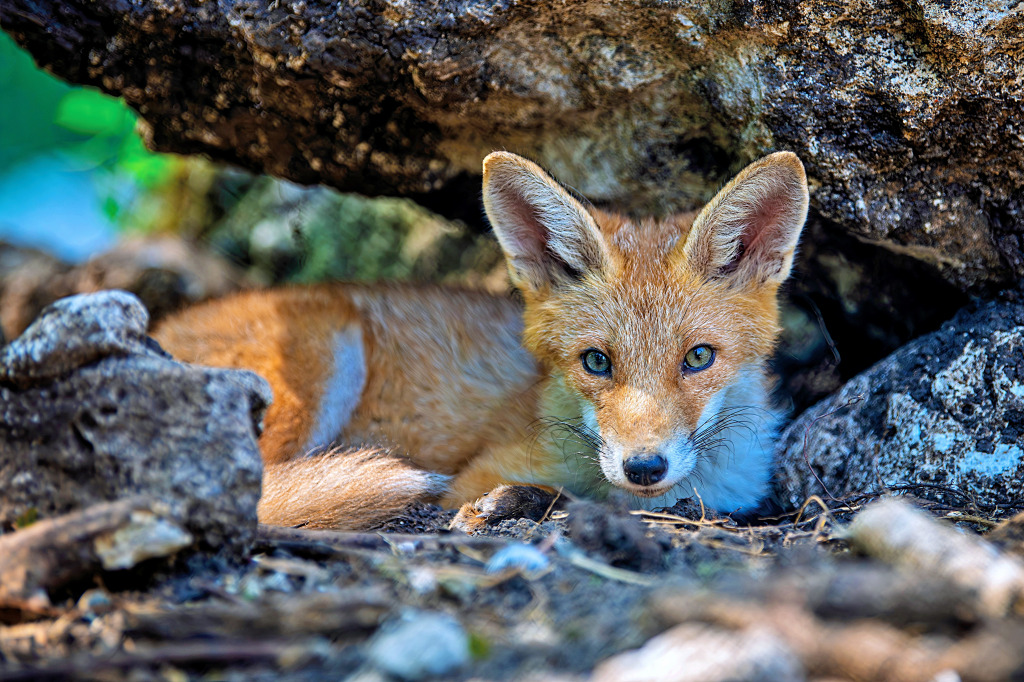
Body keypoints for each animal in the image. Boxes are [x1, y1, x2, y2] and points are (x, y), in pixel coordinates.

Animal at [152, 151, 809, 532]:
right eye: (596, 362)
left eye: (698, 357)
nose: (644, 467)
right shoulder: (479, 472)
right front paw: (515, 504)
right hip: (320, 361)